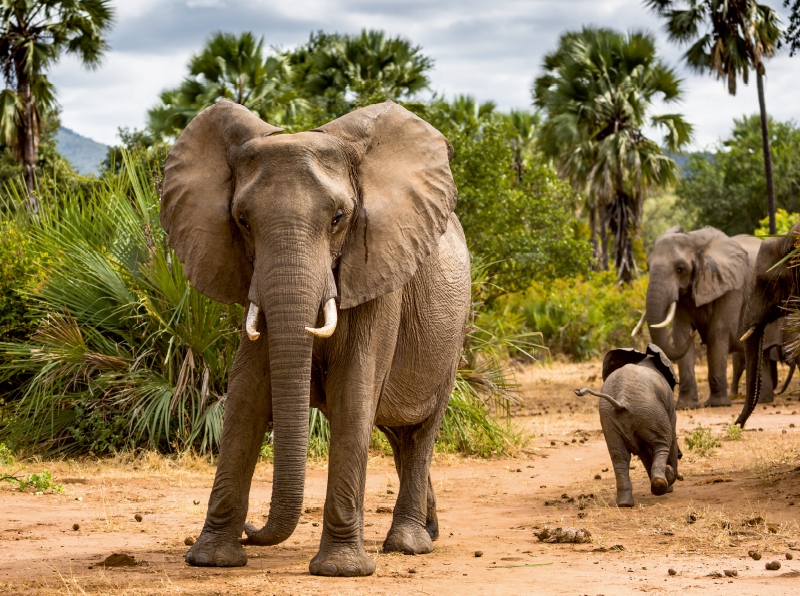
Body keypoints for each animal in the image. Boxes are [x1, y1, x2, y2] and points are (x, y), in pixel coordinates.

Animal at [162, 100, 472, 576]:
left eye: (339, 219)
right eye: (242, 221)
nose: (252, 531)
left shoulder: (377, 271)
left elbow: (353, 391)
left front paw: (341, 570)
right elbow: (246, 394)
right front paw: (211, 560)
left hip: (454, 334)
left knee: (421, 432)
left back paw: (409, 544)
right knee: (397, 435)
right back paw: (428, 531)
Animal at [576, 344, 680, 508]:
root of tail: (620, 400)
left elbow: (643, 453)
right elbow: (672, 438)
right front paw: (669, 487)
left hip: (610, 419)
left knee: (618, 456)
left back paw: (625, 503)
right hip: (649, 412)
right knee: (662, 444)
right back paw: (661, 484)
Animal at [636, 227, 764, 410]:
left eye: (680, 269)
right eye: (647, 266)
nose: (694, 333)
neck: (695, 240)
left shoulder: (731, 288)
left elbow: (717, 332)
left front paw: (717, 404)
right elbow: (681, 334)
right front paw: (686, 406)